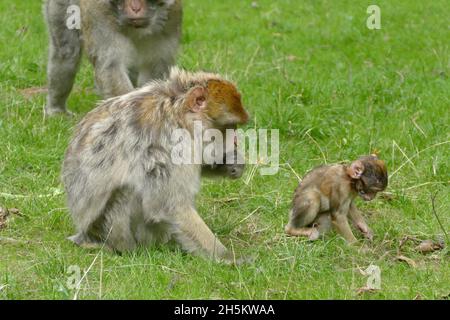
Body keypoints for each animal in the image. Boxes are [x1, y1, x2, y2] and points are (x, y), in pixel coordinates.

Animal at [43, 0, 181, 116]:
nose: (135, 8)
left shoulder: (170, 19)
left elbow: (155, 68)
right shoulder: (100, 17)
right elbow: (111, 66)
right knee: (66, 54)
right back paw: (56, 109)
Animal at [62, 67, 250, 262]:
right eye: (229, 126)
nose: (235, 141)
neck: (177, 113)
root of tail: (85, 234)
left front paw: (232, 163)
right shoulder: (167, 144)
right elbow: (170, 205)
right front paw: (227, 257)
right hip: (108, 230)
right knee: (129, 191)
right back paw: (133, 250)